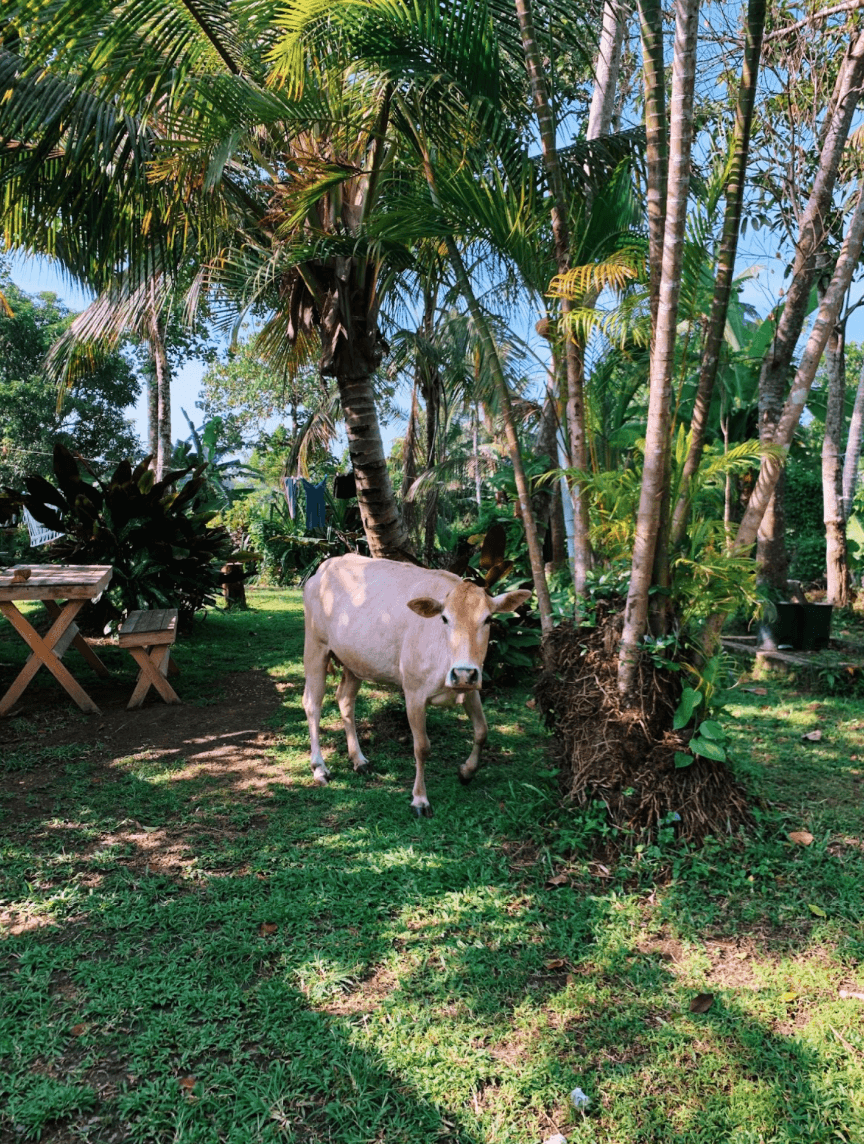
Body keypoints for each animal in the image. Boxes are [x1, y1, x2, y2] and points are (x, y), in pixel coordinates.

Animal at [302, 554, 532, 817]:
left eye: (489, 619)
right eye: (445, 618)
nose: (463, 673)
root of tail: (325, 566)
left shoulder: (471, 687)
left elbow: (482, 731)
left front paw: (466, 772)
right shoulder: (414, 693)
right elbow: (422, 747)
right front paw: (420, 800)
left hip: (354, 661)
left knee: (345, 700)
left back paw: (358, 760)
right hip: (315, 647)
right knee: (312, 704)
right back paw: (319, 768)